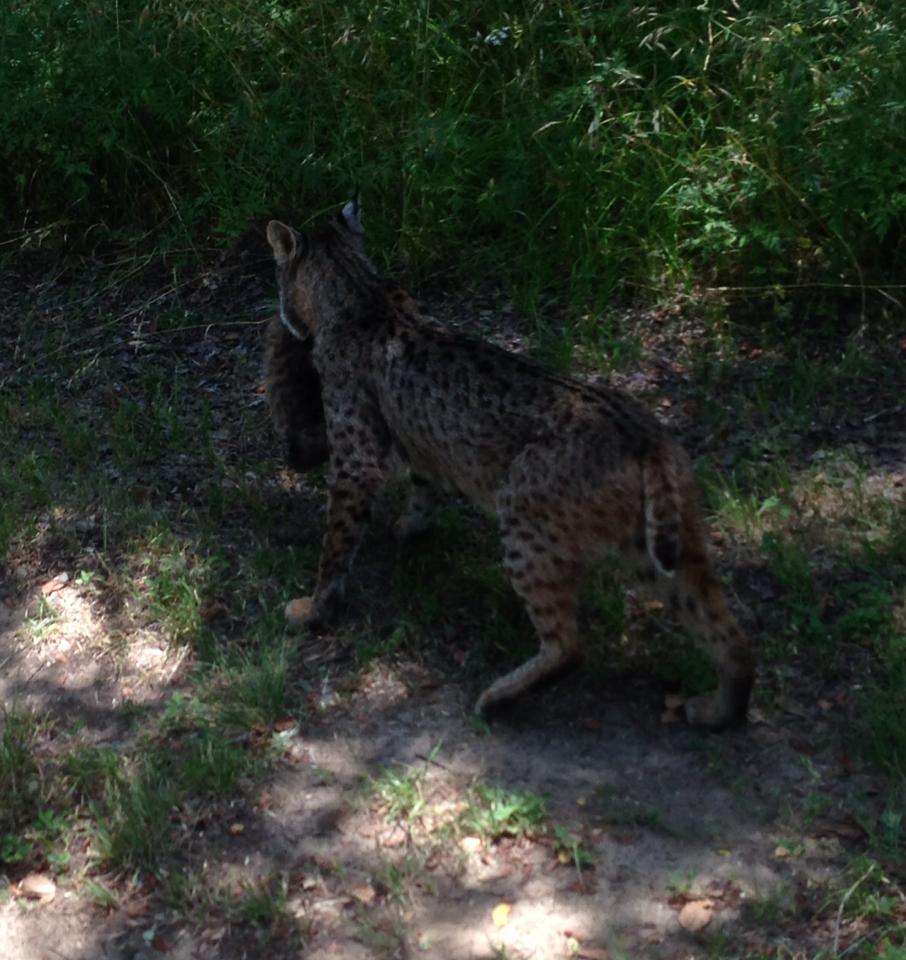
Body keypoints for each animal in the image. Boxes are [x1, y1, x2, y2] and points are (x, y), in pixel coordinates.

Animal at [265, 198, 755, 728]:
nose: (284, 318)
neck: (358, 288)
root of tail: (644, 434)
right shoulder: (417, 446)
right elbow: (423, 484)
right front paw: (410, 529)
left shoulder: (357, 461)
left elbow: (335, 545)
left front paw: (313, 610)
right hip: (662, 543)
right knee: (727, 631)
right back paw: (719, 709)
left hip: (524, 518)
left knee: (570, 647)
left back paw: (497, 699)